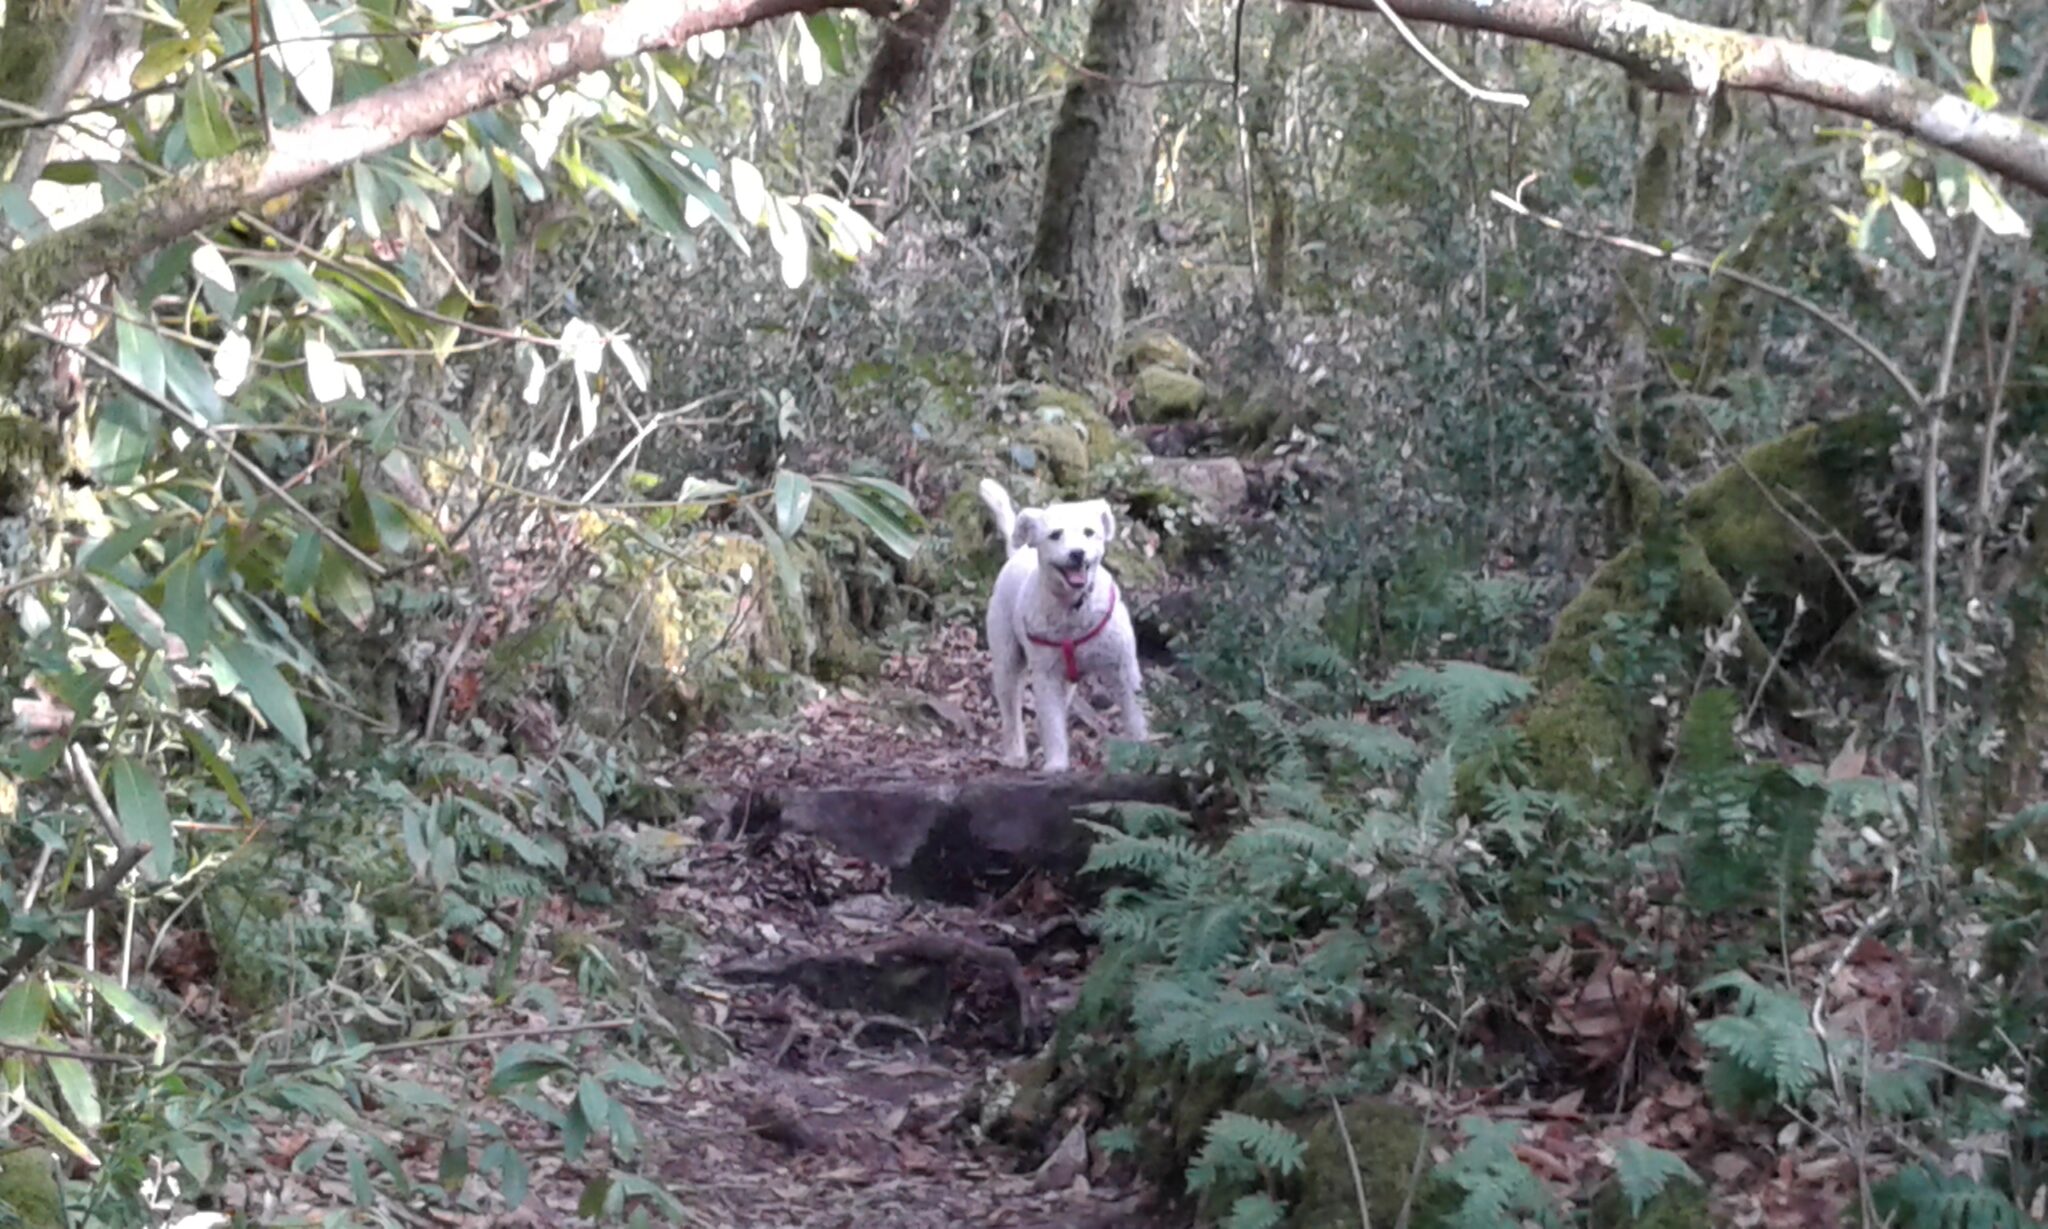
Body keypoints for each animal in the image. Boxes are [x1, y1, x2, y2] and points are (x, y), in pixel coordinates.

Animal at [970, 477, 1146, 774]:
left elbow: (1134, 716)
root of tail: (1017, 553)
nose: (1077, 553)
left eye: (1089, 532)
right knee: (1011, 708)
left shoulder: (1123, 669)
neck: (1074, 609)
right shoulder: (1046, 676)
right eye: (1055, 535)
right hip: (1007, 660)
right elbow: (1051, 723)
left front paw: (1144, 753)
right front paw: (1056, 765)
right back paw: (1016, 754)